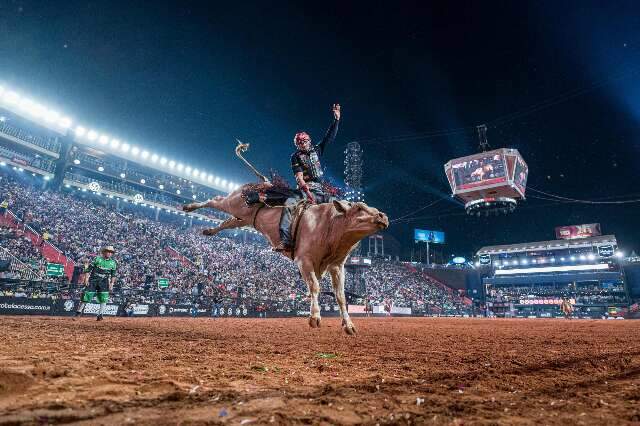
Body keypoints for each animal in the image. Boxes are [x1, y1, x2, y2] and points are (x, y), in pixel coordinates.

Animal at [182, 187, 388, 336]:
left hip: (243, 219)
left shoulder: (337, 266)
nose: (383, 216)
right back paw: (189, 207)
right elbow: (314, 287)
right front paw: (315, 317)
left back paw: (209, 230)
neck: (328, 225)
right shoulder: (304, 260)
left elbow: (341, 296)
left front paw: (349, 325)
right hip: (233, 203)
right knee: (215, 200)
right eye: (358, 208)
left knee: (227, 222)